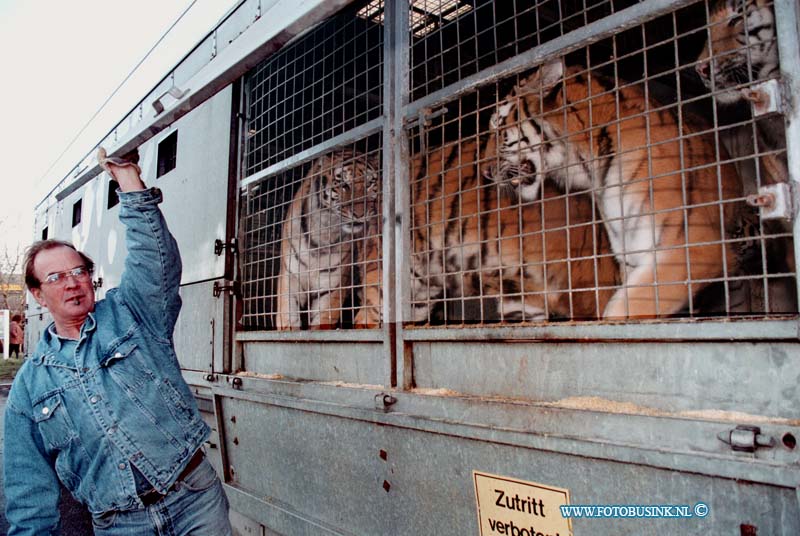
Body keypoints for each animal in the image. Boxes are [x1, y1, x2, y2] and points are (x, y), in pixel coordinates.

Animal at [276, 149, 382, 328]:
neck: (324, 232)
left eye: (369, 184)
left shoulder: (331, 288)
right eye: (344, 185)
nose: (360, 214)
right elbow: (287, 319)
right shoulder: (289, 279)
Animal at [482, 59, 752, 318]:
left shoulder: (693, 245)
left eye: (498, 125)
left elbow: (625, 307)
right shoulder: (629, 250)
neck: (589, 164)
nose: (484, 171)